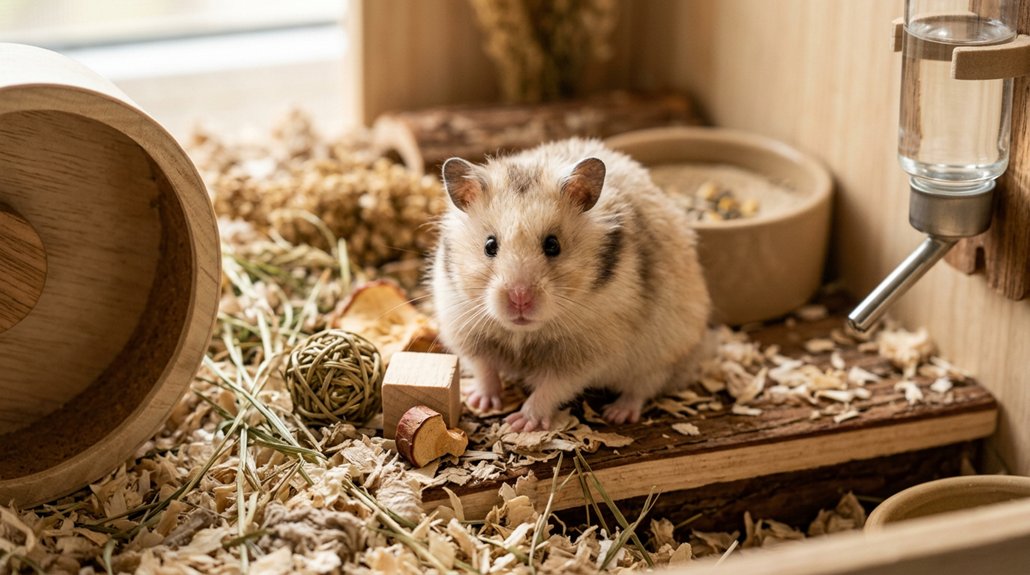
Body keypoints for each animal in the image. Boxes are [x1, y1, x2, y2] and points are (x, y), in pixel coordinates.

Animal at [431, 138, 710, 431]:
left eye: (553, 245)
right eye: (489, 245)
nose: (520, 298)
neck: (524, 332)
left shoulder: (585, 355)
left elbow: (552, 388)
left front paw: (520, 423)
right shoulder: (465, 329)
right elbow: (484, 369)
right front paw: (480, 402)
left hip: (664, 350)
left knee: (644, 386)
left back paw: (617, 413)